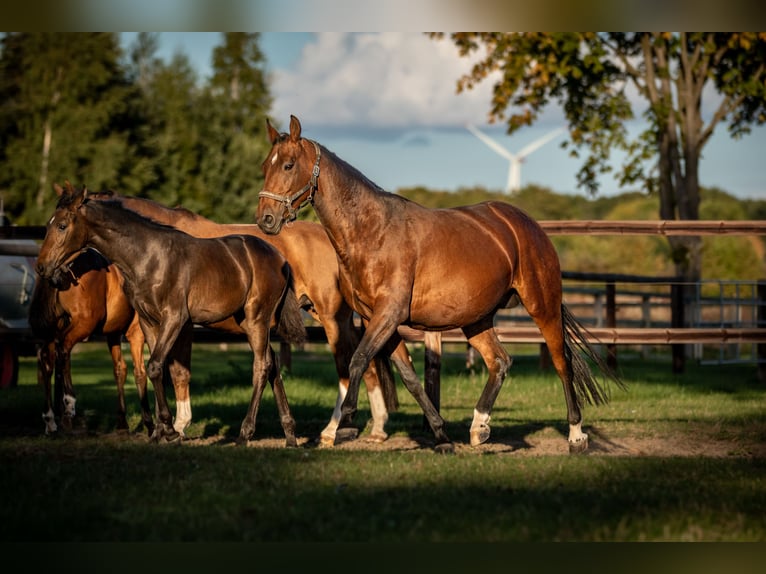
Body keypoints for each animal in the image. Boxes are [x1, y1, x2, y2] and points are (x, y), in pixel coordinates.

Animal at [29, 248, 153, 436]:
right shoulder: (136, 332)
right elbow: (140, 372)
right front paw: (150, 424)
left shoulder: (113, 334)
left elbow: (119, 370)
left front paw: (122, 423)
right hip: (82, 326)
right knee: (63, 349)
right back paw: (69, 405)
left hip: (54, 330)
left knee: (48, 361)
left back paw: (50, 420)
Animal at [86, 189, 405, 446]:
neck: (156, 247)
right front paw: (163, 428)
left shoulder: (178, 324)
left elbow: (175, 372)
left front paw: (177, 426)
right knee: (370, 363)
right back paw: (374, 428)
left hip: (330, 319)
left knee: (348, 365)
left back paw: (334, 430)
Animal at [257, 115, 625, 454]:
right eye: (265, 165)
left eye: (288, 165)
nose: (266, 220)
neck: (372, 232)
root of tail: (526, 224)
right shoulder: (381, 319)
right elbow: (410, 378)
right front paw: (442, 435)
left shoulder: (388, 315)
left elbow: (358, 360)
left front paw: (344, 424)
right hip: (477, 319)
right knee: (500, 361)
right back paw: (479, 428)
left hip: (542, 304)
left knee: (562, 362)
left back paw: (576, 437)